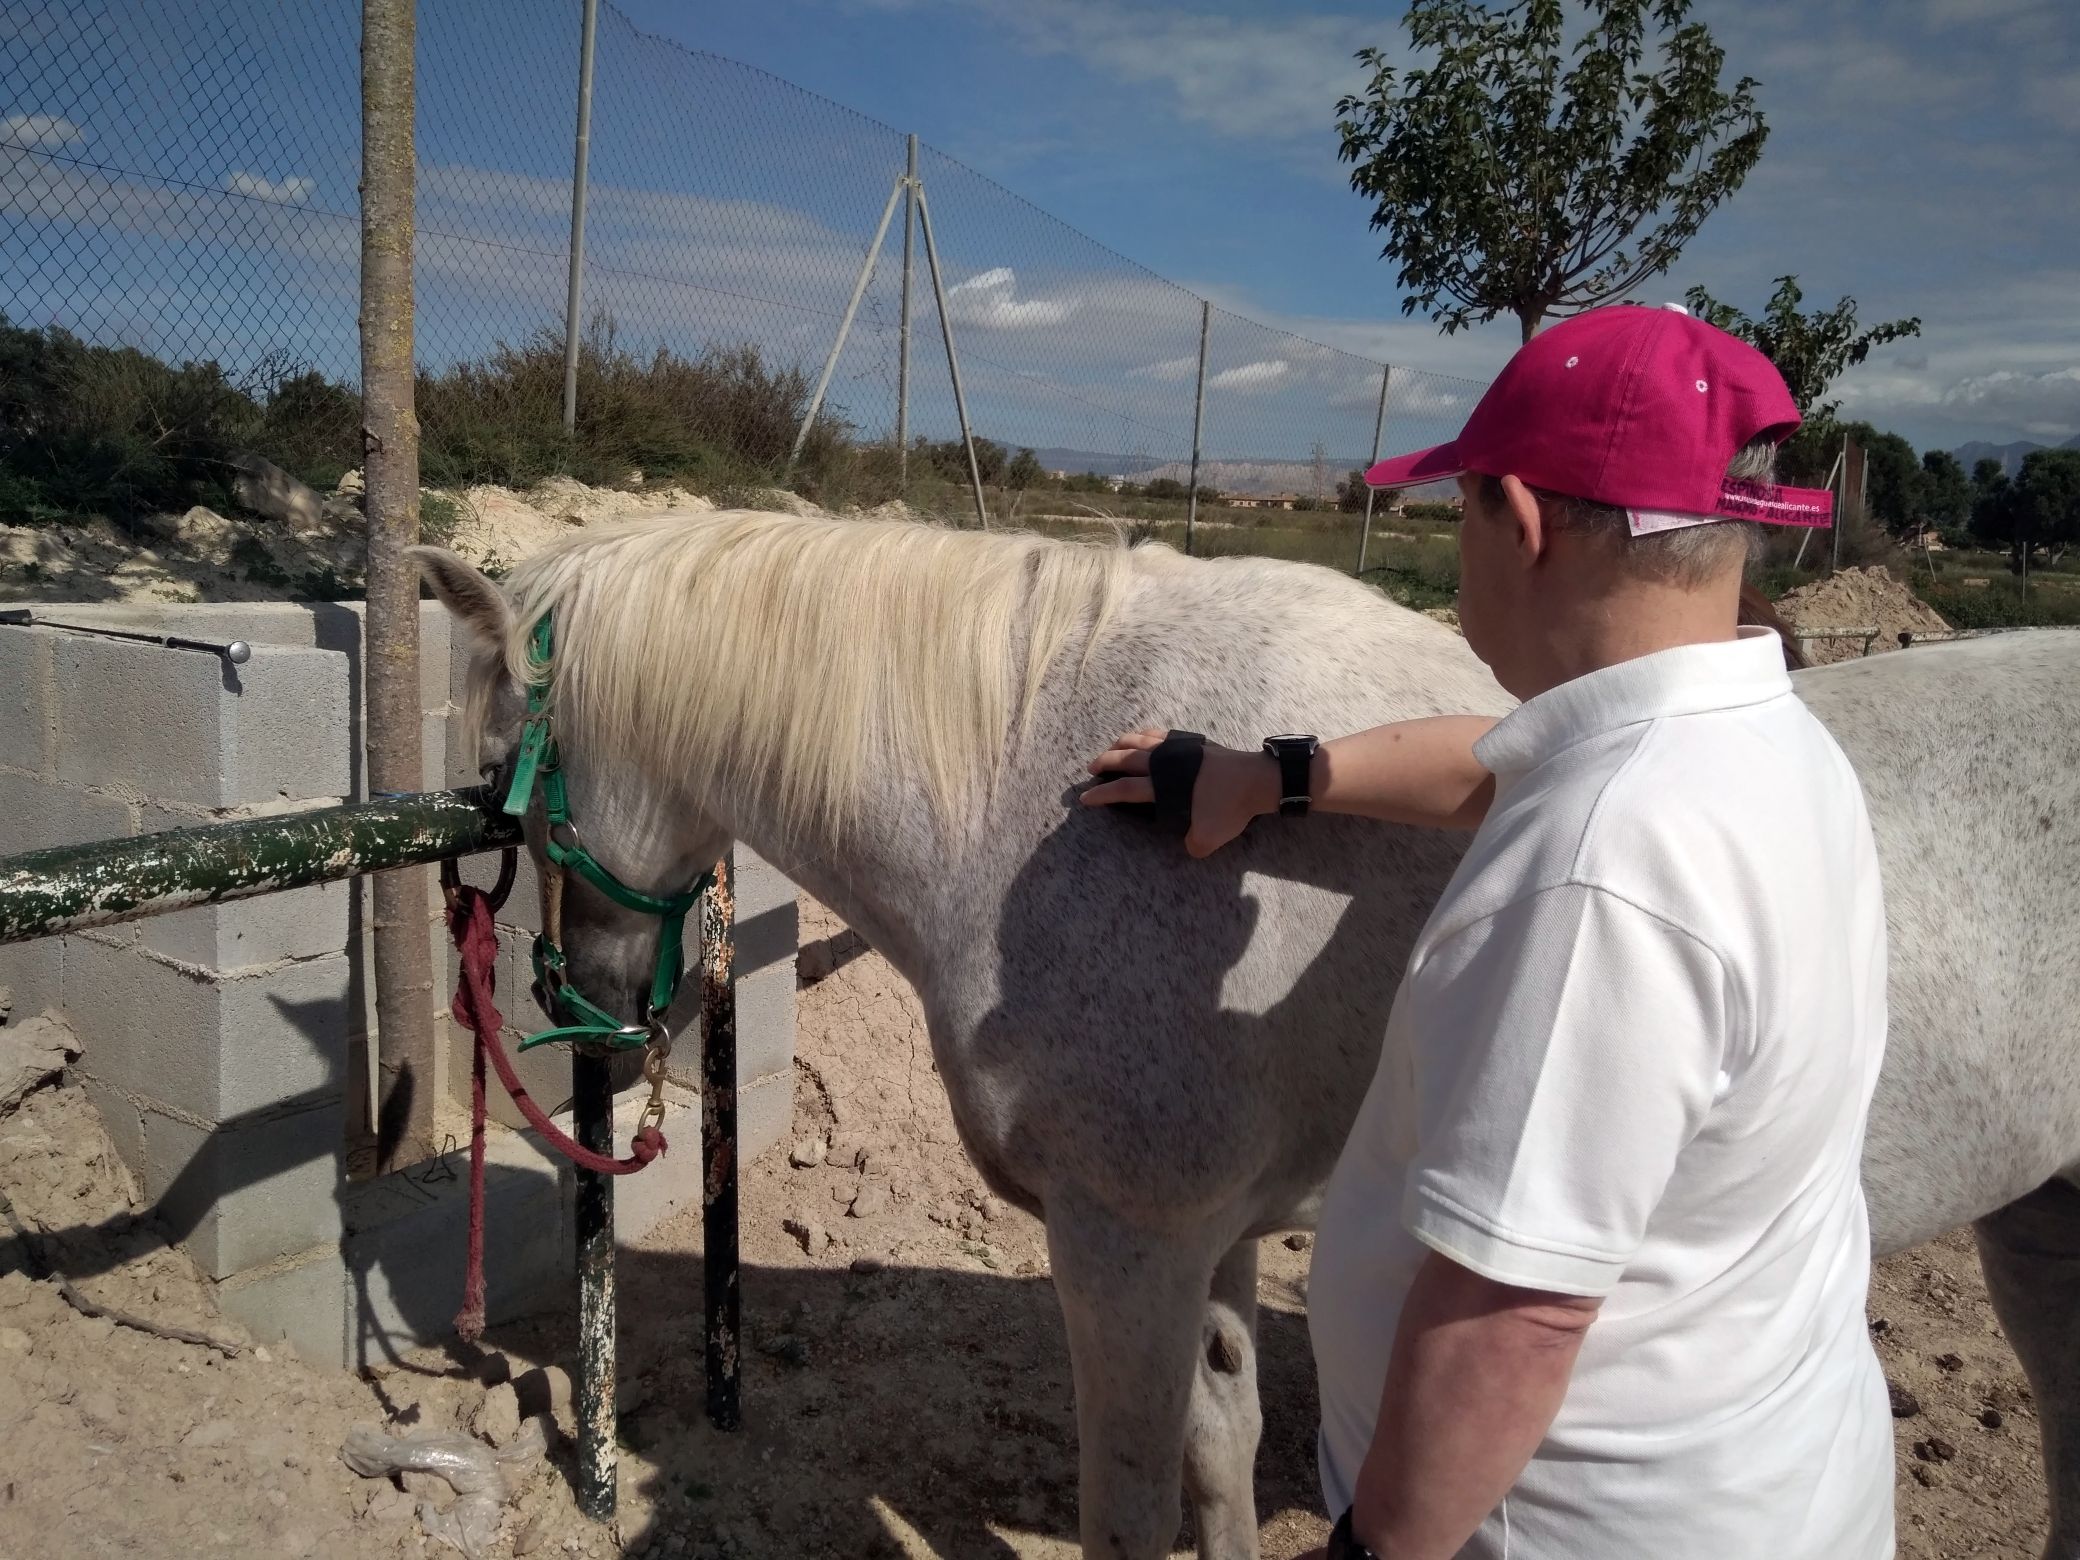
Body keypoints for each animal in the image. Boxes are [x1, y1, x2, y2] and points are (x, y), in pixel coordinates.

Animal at [412, 510, 2080, 1560]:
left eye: (498, 778)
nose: (591, 1011)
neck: (1036, 796)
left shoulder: (1125, 1246)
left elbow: (1136, 1500)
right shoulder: (1207, 1246)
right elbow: (1221, 1454)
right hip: (2041, 1224)